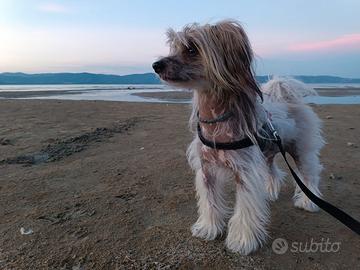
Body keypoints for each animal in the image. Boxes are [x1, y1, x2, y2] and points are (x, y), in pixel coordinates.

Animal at [150, 20, 324, 254]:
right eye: (174, 47)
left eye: (192, 49)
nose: (156, 65)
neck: (216, 123)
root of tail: (288, 98)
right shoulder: (206, 172)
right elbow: (210, 203)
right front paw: (208, 228)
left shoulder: (245, 173)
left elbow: (245, 211)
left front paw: (241, 241)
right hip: (267, 153)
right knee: (272, 171)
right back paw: (269, 191)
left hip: (301, 150)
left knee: (308, 175)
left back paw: (308, 201)